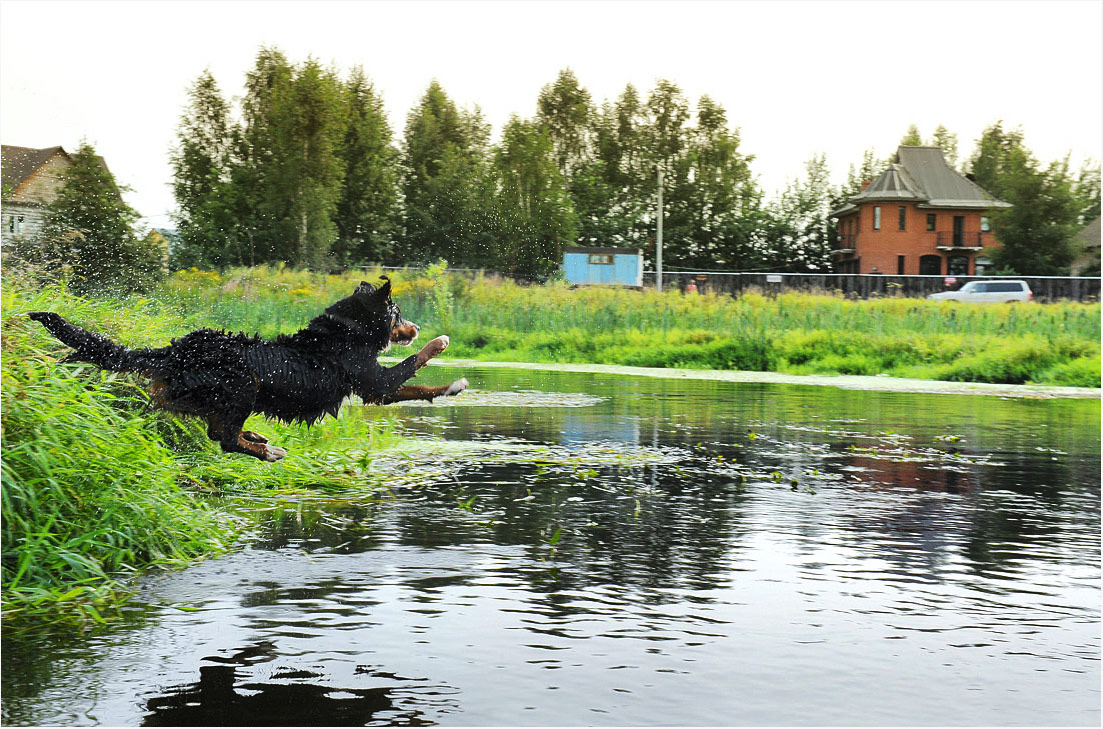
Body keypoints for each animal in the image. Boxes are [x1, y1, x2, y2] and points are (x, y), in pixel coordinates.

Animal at [25, 279, 465, 461]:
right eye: (398, 314)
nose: (416, 327)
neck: (346, 332)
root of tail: (175, 351)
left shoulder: (378, 389)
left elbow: (419, 389)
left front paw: (452, 387)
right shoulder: (375, 380)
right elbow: (413, 362)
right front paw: (442, 343)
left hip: (221, 393)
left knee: (217, 429)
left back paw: (256, 436)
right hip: (242, 384)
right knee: (223, 438)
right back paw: (268, 450)